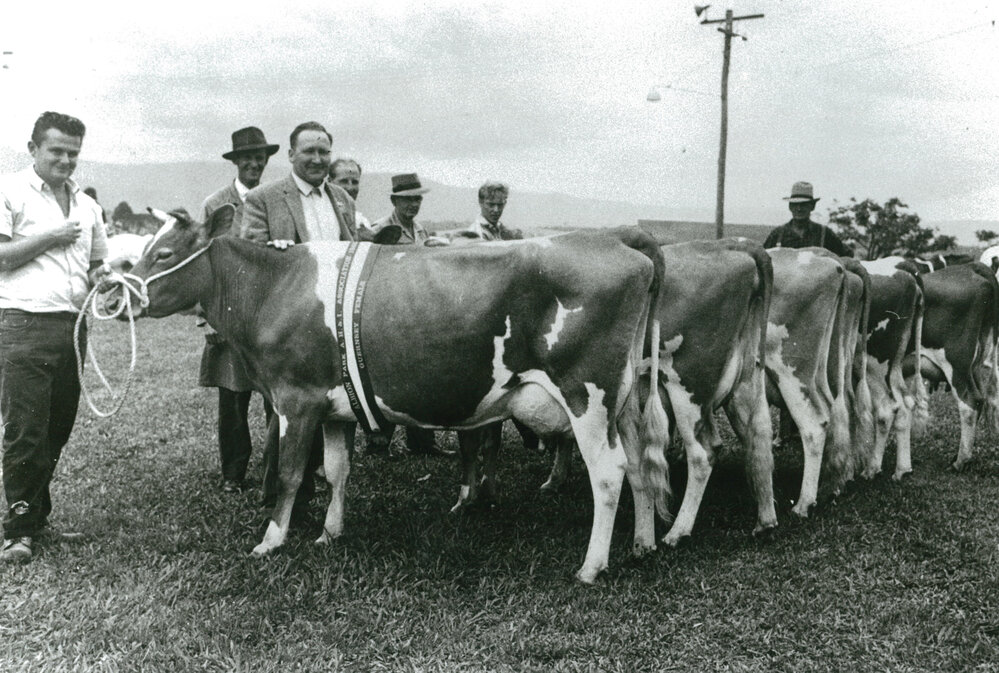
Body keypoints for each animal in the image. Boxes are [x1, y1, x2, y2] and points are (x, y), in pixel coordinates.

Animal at [124, 208, 669, 584]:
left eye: (164, 254)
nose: (115, 291)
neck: (274, 287)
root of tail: (622, 241)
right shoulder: (332, 408)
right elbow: (337, 470)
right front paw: (330, 532)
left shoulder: (295, 400)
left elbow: (289, 473)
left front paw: (271, 541)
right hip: (623, 398)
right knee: (639, 463)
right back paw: (644, 543)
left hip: (587, 395)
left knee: (608, 473)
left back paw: (591, 566)